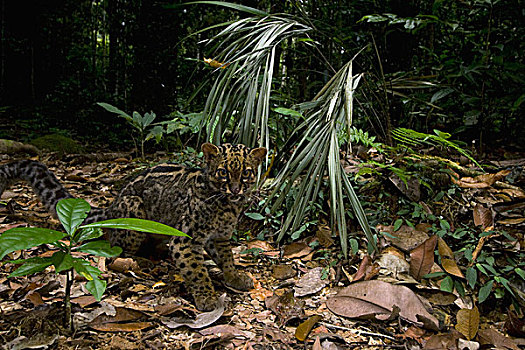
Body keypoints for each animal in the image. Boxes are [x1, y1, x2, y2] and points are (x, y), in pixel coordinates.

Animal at [1, 144, 266, 310]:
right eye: (222, 172)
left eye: (246, 173)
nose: (235, 190)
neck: (227, 206)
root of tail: (112, 205)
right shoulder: (185, 239)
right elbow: (196, 270)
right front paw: (207, 297)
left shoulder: (219, 237)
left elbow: (227, 257)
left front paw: (234, 276)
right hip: (134, 211)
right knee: (118, 250)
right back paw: (141, 262)